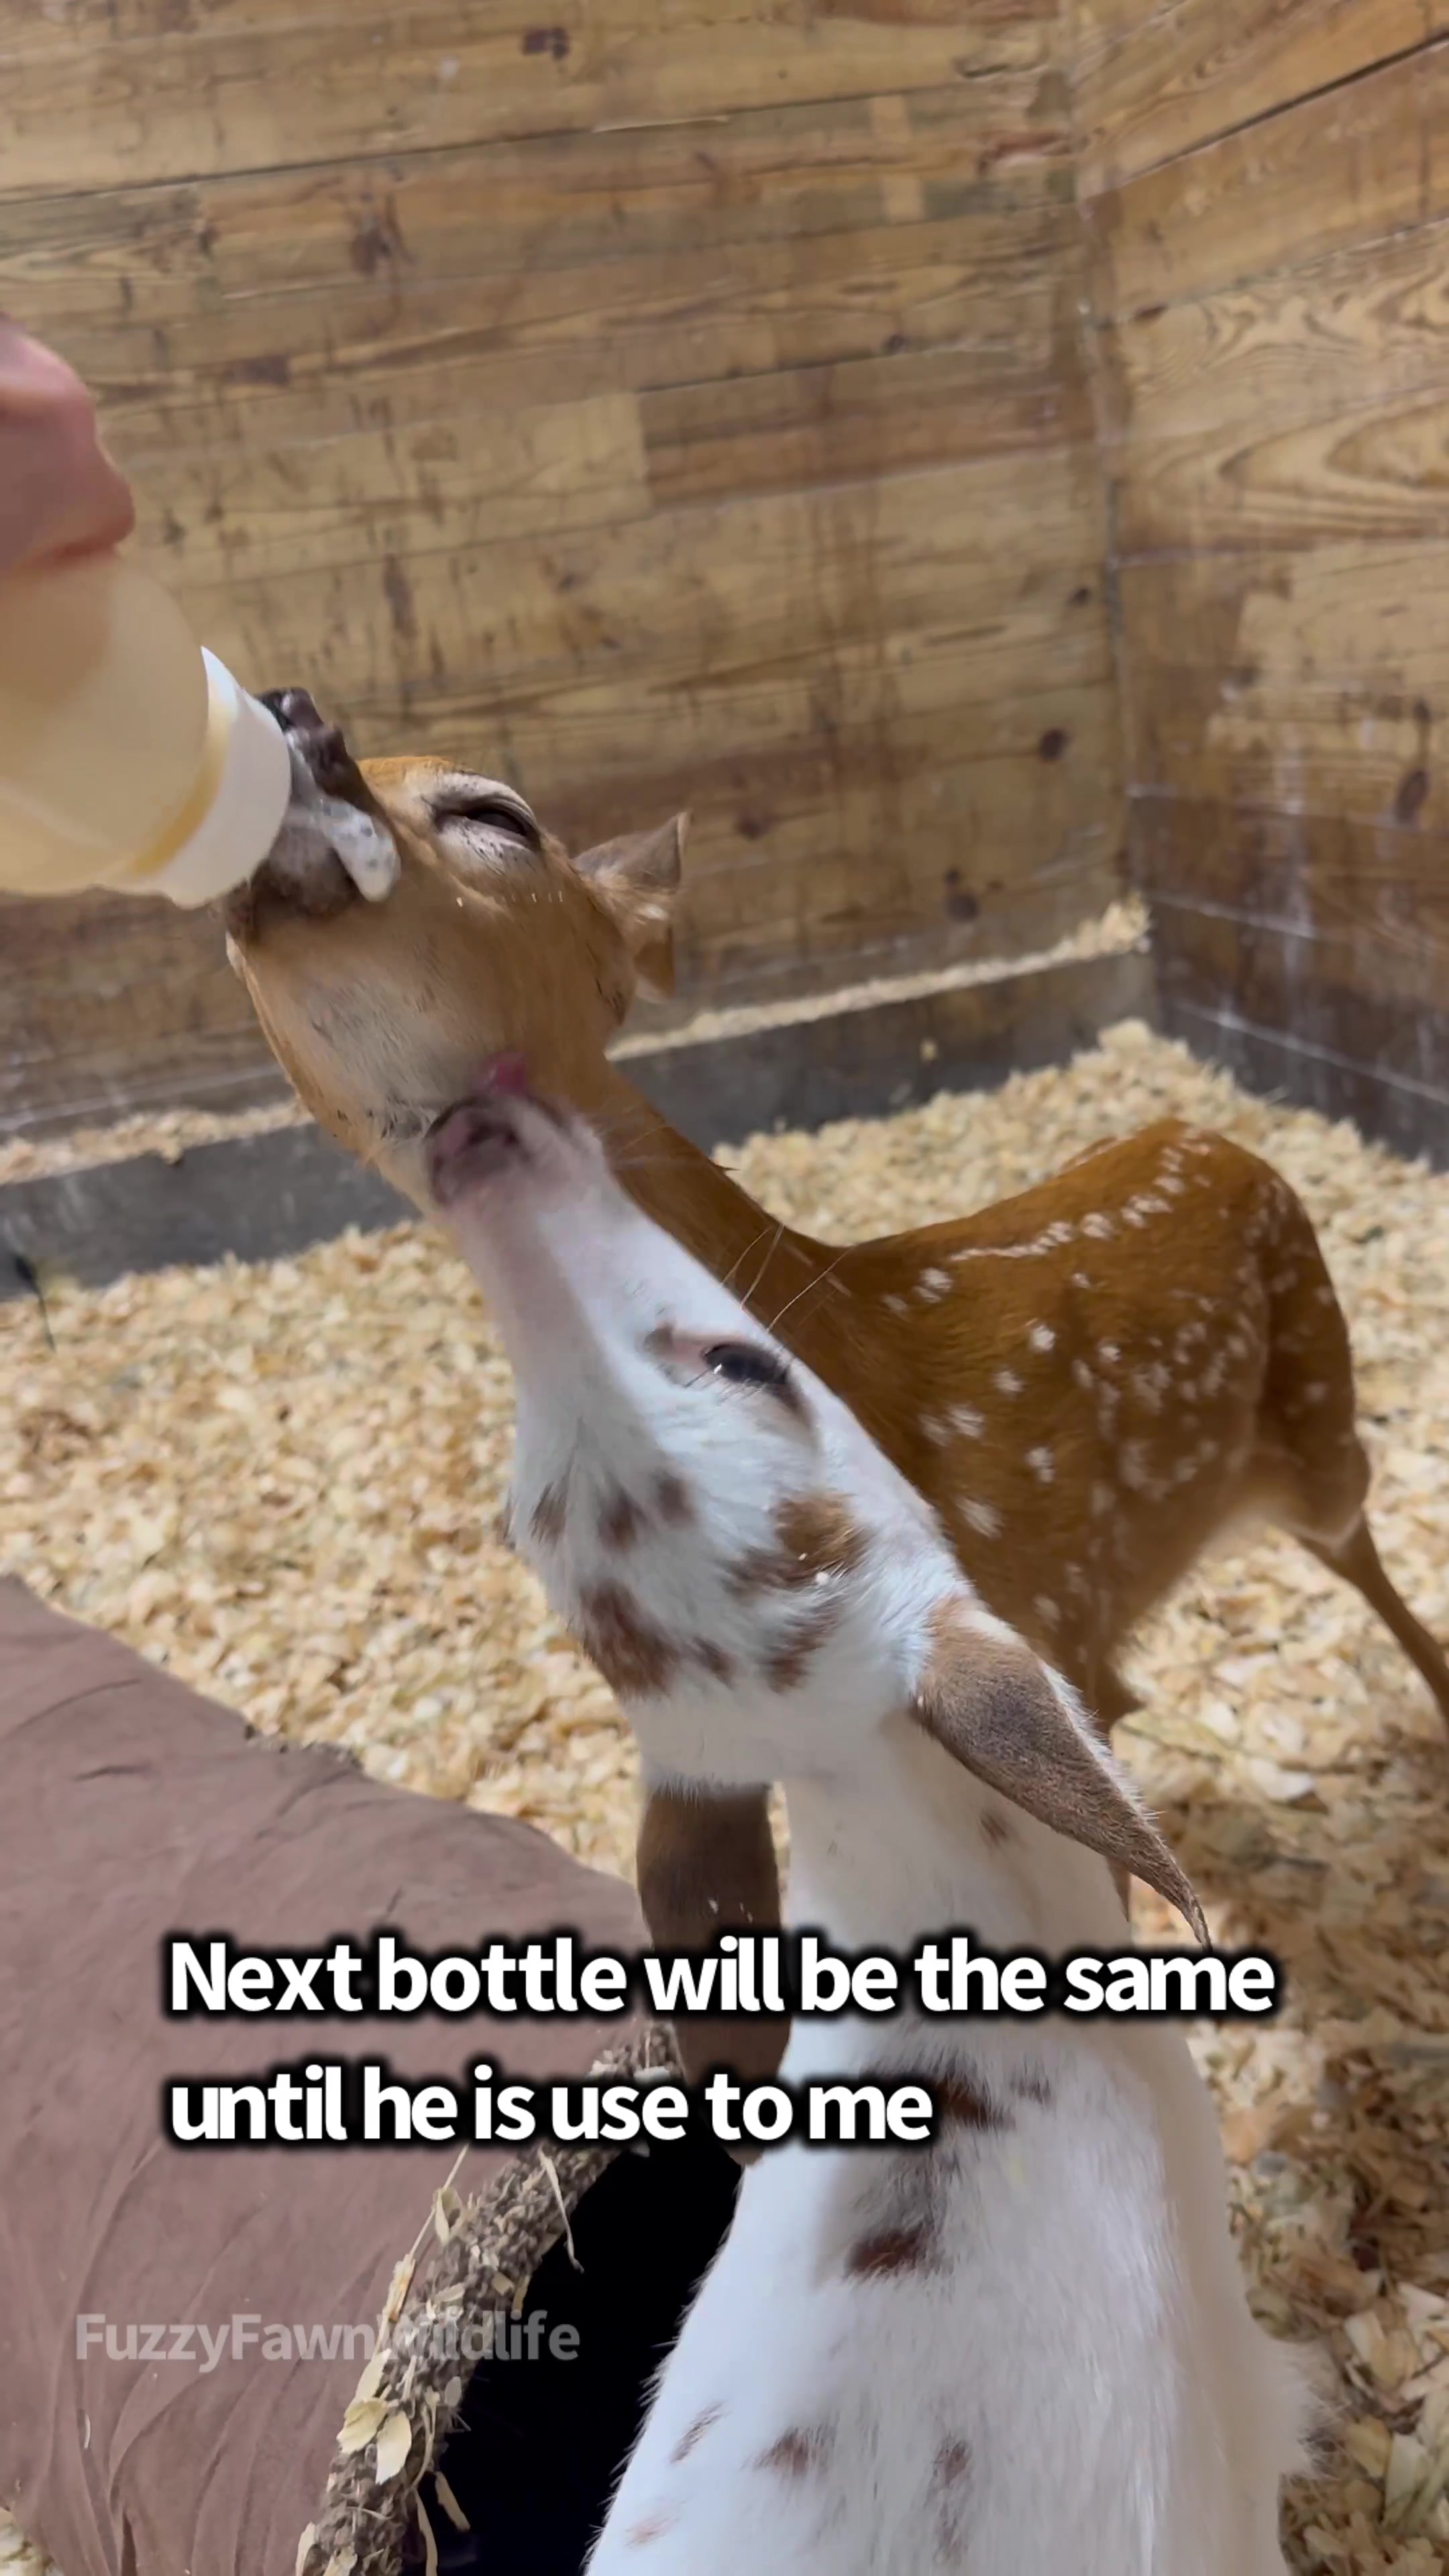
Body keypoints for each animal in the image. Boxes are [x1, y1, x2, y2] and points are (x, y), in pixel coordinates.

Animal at [224, 692, 1449, 2076]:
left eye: (497, 813)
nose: (290, 715)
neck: (860, 1342)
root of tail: (1212, 1130)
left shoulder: (1033, 1634)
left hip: (1321, 1418)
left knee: (1375, 1560)